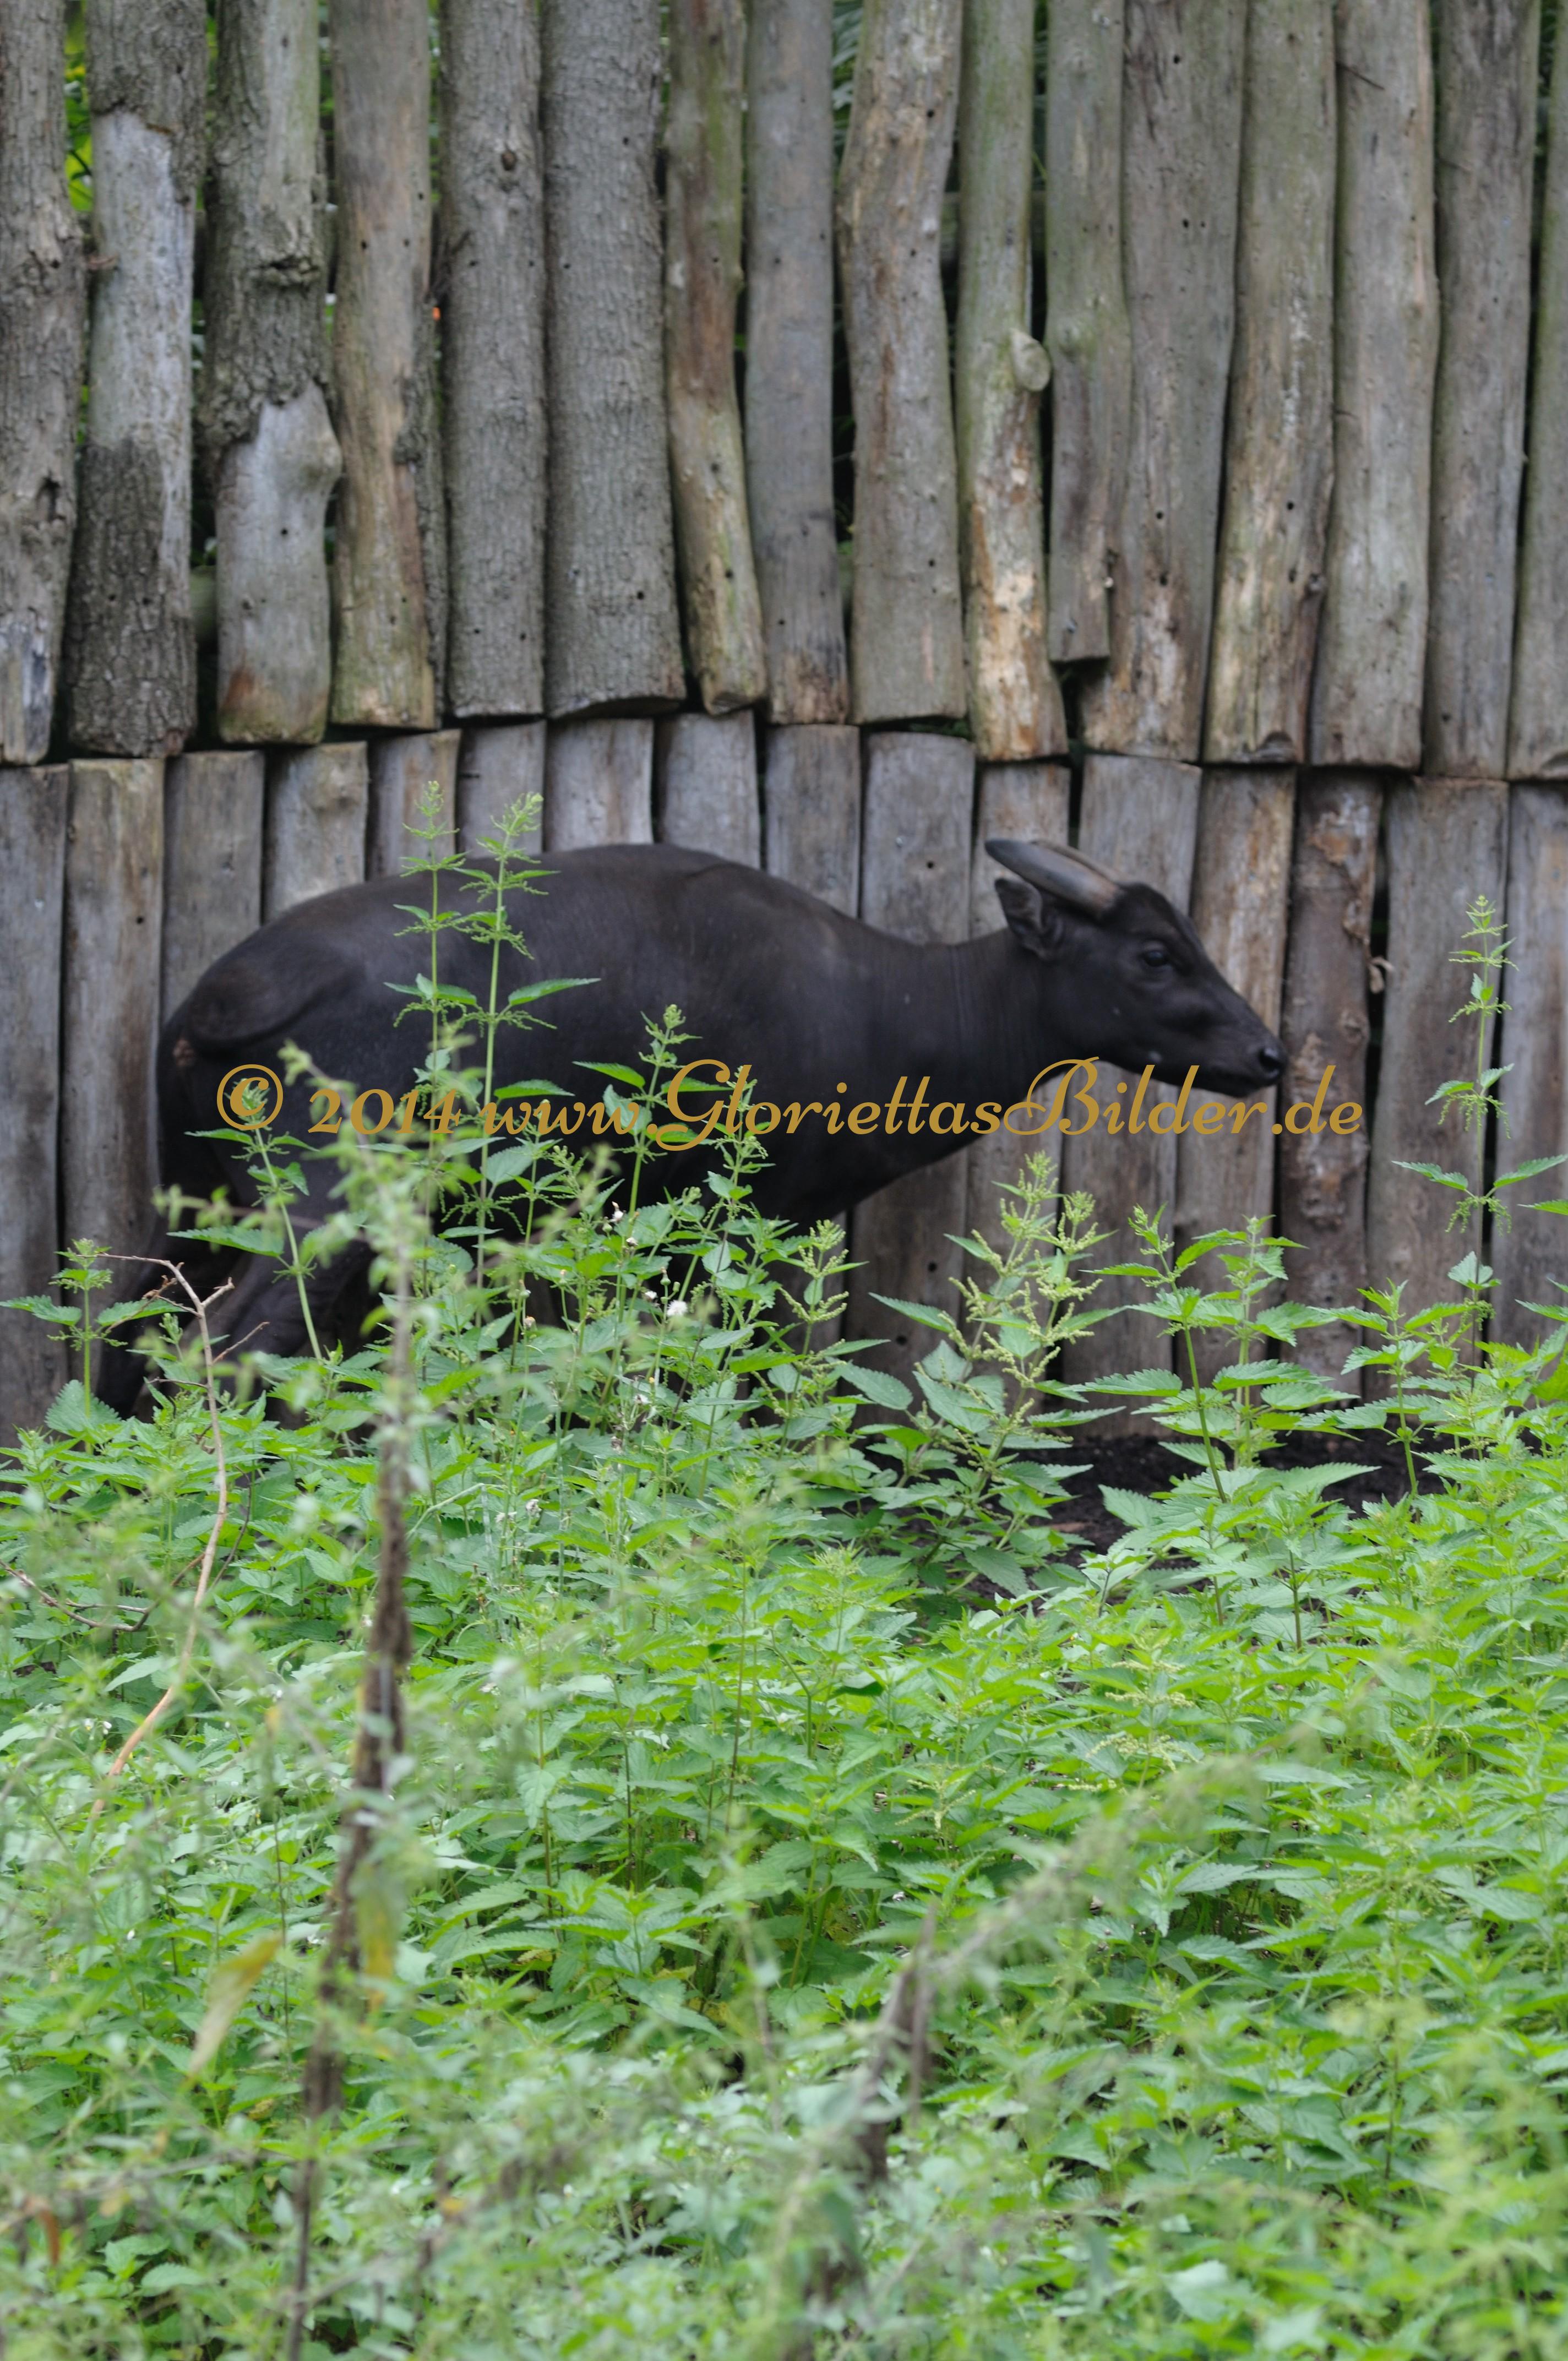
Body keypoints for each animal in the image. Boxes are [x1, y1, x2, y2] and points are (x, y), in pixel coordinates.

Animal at [96, 836, 1282, 1408]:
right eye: (1154, 953)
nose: (1267, 1054)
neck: (881, 1004)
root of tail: (228, 993)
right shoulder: (736, 1217)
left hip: (192, 1208)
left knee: (128, 1333)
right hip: (317, 1213)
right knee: (223, 1346)